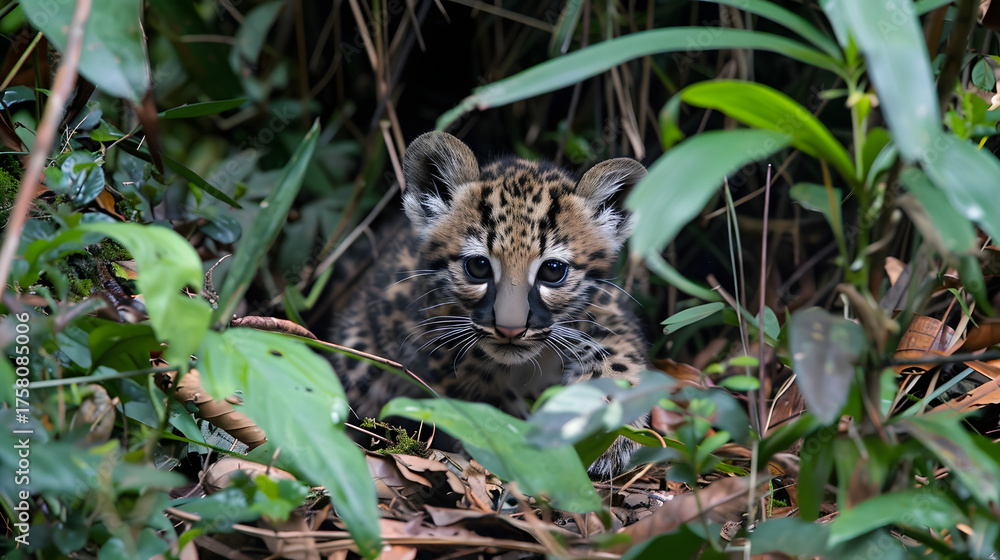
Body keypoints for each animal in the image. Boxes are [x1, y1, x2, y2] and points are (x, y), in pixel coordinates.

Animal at [329, 131, 650, 477]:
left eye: (552, 271)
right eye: (478, 267)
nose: (510, 329)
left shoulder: (607, 311)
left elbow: (619, 360)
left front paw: (607, 433)